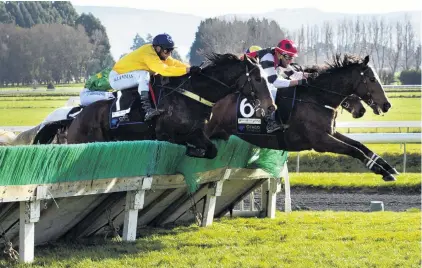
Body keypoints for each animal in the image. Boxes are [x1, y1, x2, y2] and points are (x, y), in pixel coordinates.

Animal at [206, 54, 398, 180]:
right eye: (372, 79)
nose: (386, 105)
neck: (317, 98)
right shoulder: (320, 141)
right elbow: (354, 150)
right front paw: (383, 171)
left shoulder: (330, 133)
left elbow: (360, 145)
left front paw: (388, 168)